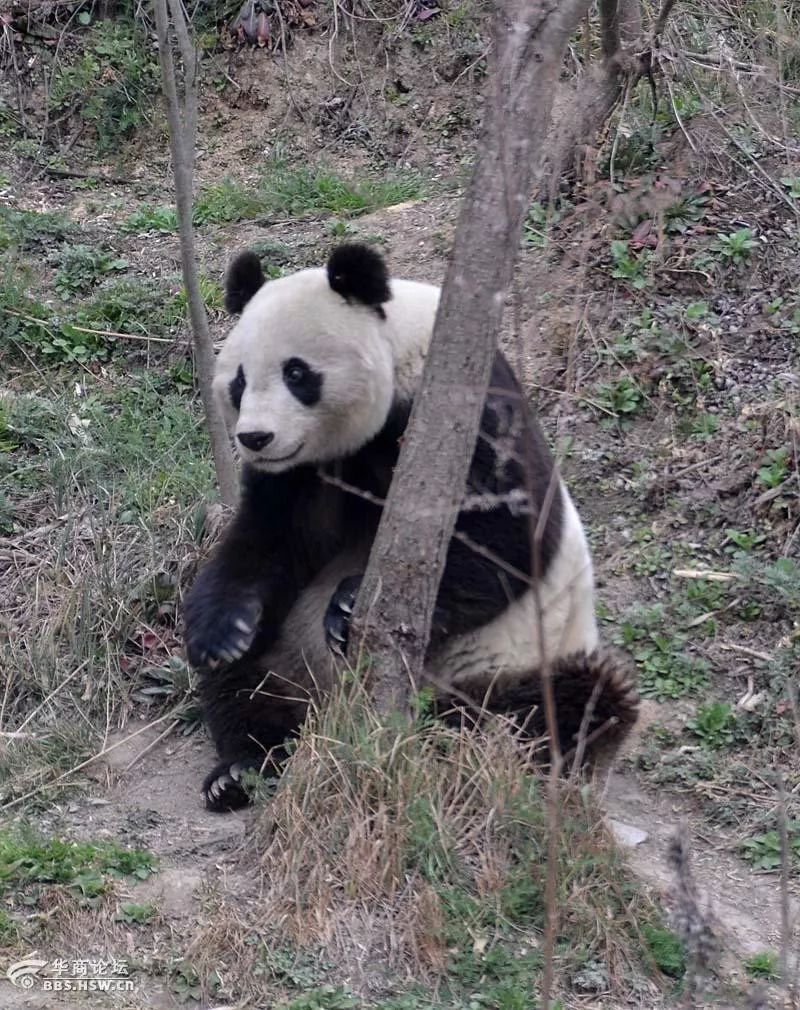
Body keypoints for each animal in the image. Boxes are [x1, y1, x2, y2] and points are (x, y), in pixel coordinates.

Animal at [182, 244, 638, 812]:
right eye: (240, 381)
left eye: (297, 373)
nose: (256, 438)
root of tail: (329, 709)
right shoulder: (301, 473)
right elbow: (269, 541)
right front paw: (224, 631)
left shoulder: (469, 414)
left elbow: (505, 536)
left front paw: (351, 606)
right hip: (288, 654)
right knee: (245, 687)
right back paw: (243, 768)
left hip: (515, 660)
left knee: (567, 705)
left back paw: (453, 750)